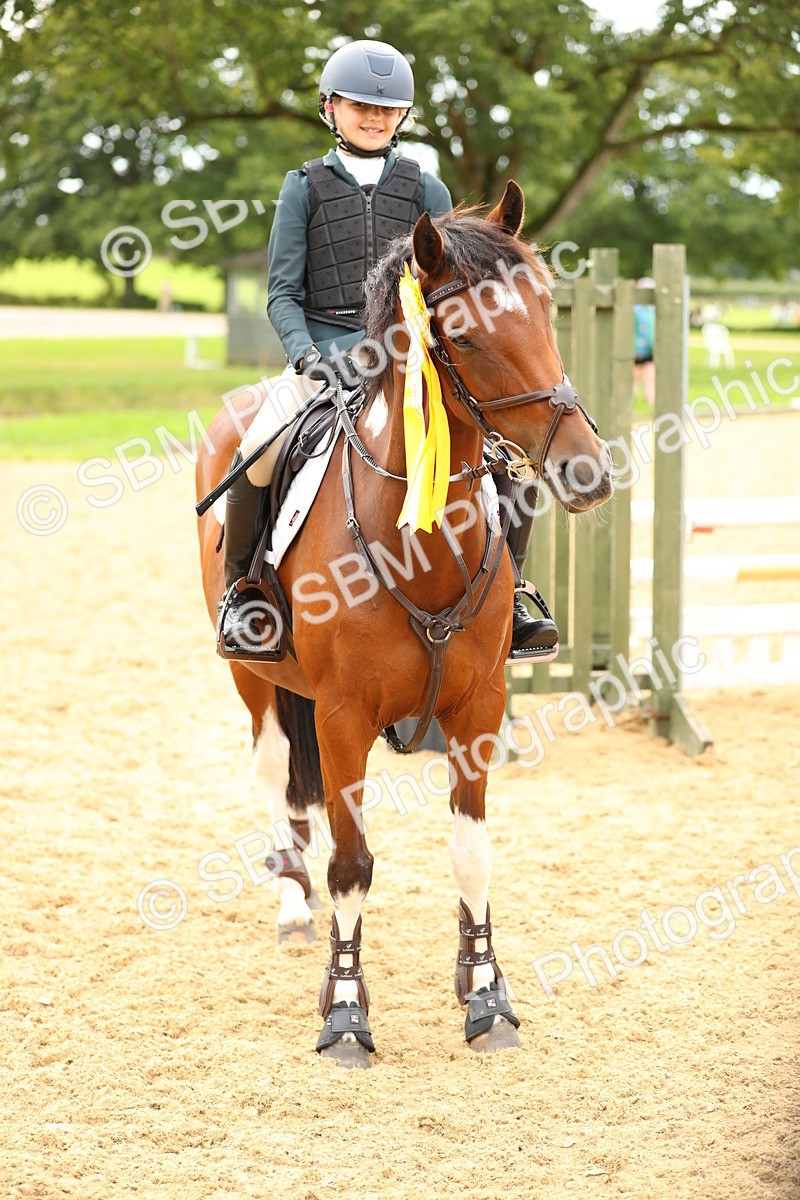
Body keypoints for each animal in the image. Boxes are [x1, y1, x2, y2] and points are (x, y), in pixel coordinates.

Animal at [196, 182, 613, 1067]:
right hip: (252, 673)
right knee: (275, 769)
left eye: (546, 310)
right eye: (467, 335)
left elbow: (471, 850)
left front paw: (486, 994)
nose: (586, 471)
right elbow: (352, 863)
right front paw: (347, 1012)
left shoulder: (477, 706)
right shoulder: (344, 715)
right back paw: (292, 902)